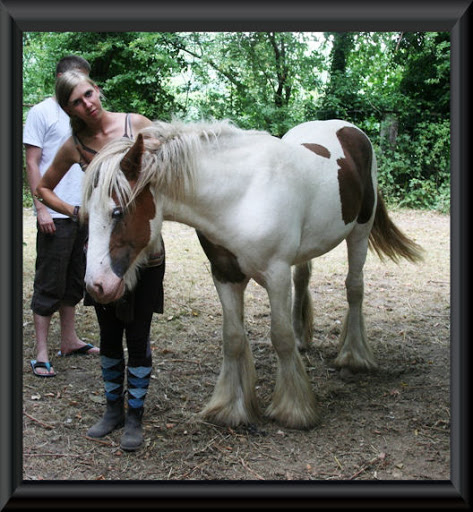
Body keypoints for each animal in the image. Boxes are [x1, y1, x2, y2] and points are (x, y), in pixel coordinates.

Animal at [79, 119, 422, 428]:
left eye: (117, 212)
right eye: (86, 213)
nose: (97, 286)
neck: (240, 196)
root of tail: (352, 131)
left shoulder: (276, 274)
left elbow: (280, 337)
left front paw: (294, 409)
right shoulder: (225, 275)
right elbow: (232, 338)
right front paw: (231, 408)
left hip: (359, 233)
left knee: (354, 288)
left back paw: (354, 356)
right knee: (304, 280)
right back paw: (304, 339)